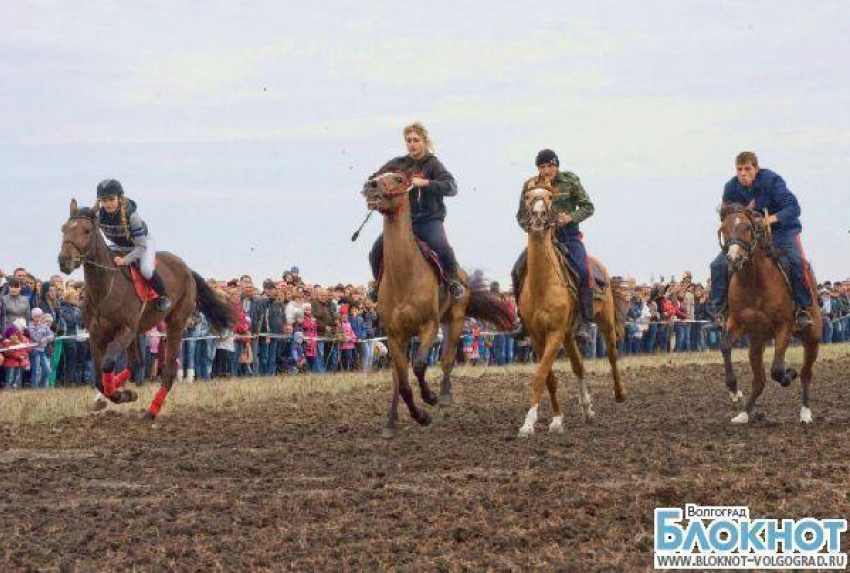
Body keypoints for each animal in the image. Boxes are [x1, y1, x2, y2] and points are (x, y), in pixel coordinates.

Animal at [58, 199, 235, 418]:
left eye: (87, 230)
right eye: (64, 229)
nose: (64, 260)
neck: (104, 289)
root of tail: (186, 269)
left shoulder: (125, 330)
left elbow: (108, 365)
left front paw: (120, 395)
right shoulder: (96, 334)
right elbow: (99, 377)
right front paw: (117, 395)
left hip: (175, 322)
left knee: (168, 371)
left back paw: (151, 411)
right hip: (139, 332)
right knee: (137, 364)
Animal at [362, 172, 512, 436]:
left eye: (398, 178)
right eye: (379, 174)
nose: (371, 186)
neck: (404, 277)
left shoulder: (429, 326)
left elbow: (421, 365)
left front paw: (429, 399)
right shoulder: (394, 335)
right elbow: (401, 381)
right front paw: (415, 416)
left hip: (455, 320)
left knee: (447, 360)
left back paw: (444, 395)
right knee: (401, 376)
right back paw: (391, 421)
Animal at [512, 183, 628, 438]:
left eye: (549, 198)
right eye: (528, 197)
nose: (538, 216)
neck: (542, 283)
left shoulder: (554, 333)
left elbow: (540, 376)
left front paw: (527, 424)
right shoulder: (537, 336)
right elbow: (549, 379)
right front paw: (556, 420)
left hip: (603, 323)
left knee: (612, 355)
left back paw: (620, 393)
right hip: (568, 335)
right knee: (579, 366)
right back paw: (587, 410)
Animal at [716, 206, 820, 424]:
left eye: (748, 227)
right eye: (723, 228)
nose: (734, 258)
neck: (754, 282)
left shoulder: (784, 326)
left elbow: (777, 370)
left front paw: (789, 374)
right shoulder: (737, 324)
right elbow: (725, 346)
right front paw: (734, 390)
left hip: (812, 337)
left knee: (806, 374)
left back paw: (805, 413)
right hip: (756, 342)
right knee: (759, 381)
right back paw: (744, 414)